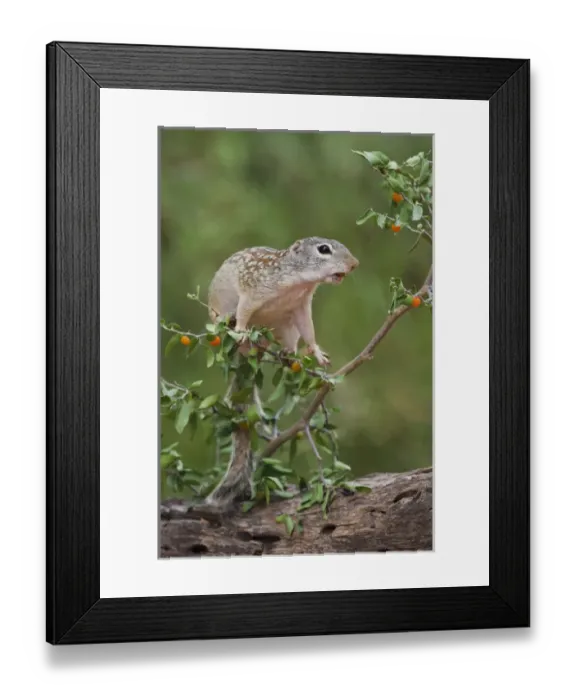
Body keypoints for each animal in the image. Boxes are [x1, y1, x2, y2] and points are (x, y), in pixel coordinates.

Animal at [204, 236, 359, 509]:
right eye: (324, 249)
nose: (354, 264)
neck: (298, 285)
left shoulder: (301, 308)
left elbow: (309, 332)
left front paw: (317, 352)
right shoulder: (254, 290)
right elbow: (244, 311)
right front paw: (241, 329)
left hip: (285, 328)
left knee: (288, 342)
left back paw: (288, 355)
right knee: (228, 320)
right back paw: (235, 331)